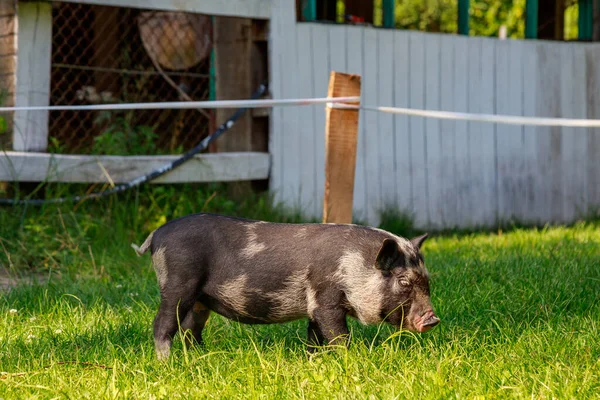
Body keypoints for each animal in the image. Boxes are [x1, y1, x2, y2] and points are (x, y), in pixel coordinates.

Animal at [132, 212, 440, 360]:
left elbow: (315, 337)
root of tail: (156, 235)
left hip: (199, 300)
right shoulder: (326, 299)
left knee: (190, 329)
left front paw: (313, 361)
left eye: (426, 281)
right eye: (403, 281)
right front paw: (348, 359)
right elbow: (338, 335)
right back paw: (167, 362)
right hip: (178, 284)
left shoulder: (314, 307)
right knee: (162, 324)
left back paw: (201, 356)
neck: (354, 266)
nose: (432, 319)